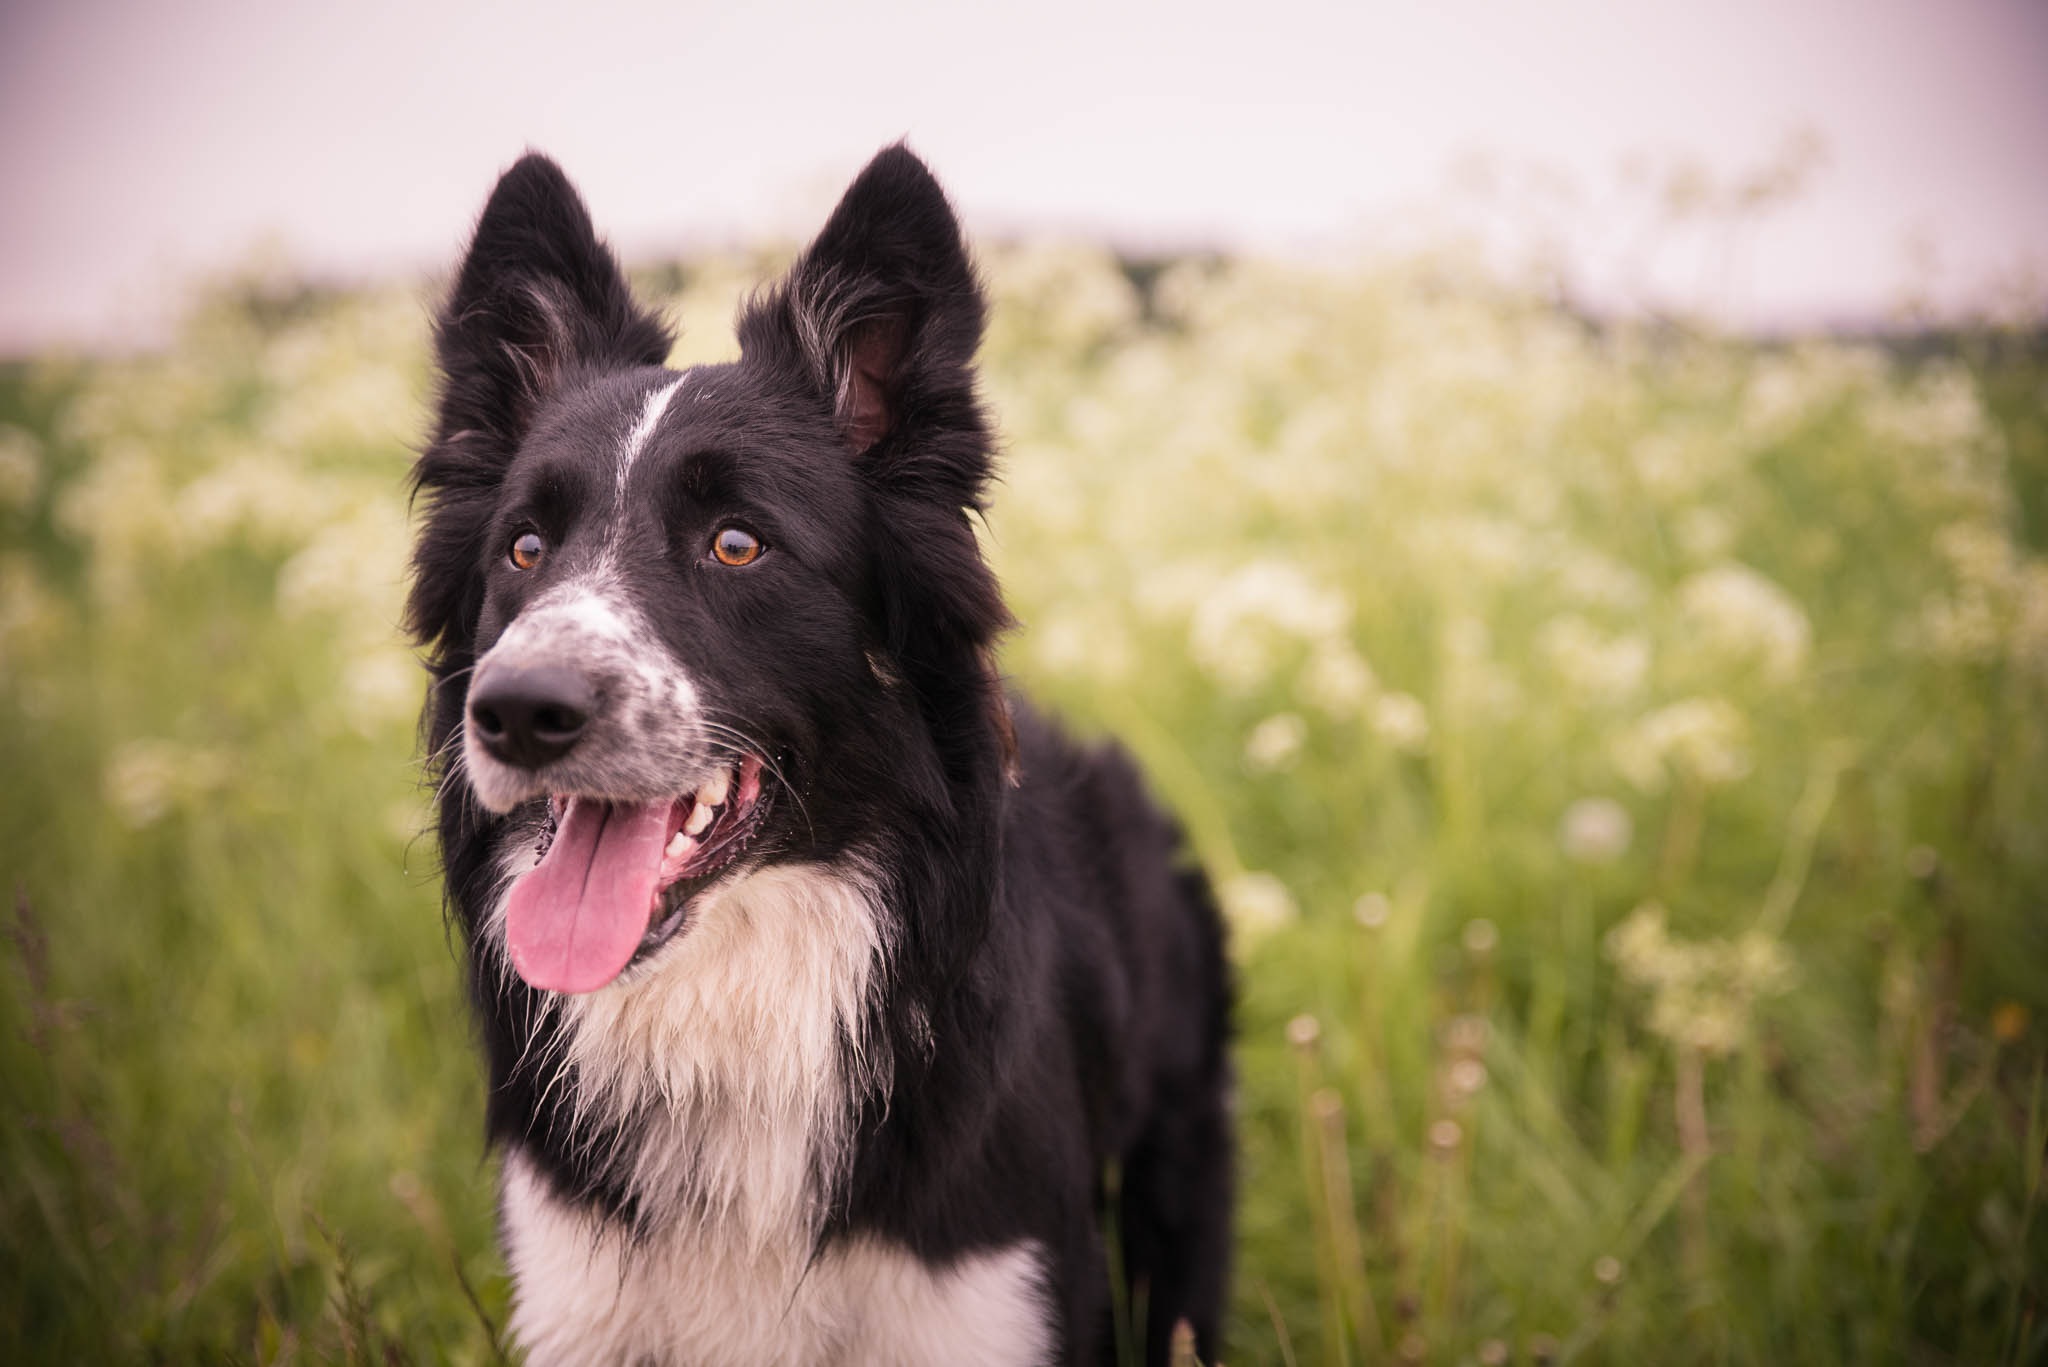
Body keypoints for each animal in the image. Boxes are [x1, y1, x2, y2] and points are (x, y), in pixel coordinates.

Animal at [405, 144, 1220, 1360]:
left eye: (737, 544)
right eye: (525, 547)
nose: (514, 712)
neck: (736, 999)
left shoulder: (983, 1297)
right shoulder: (579, 1295)